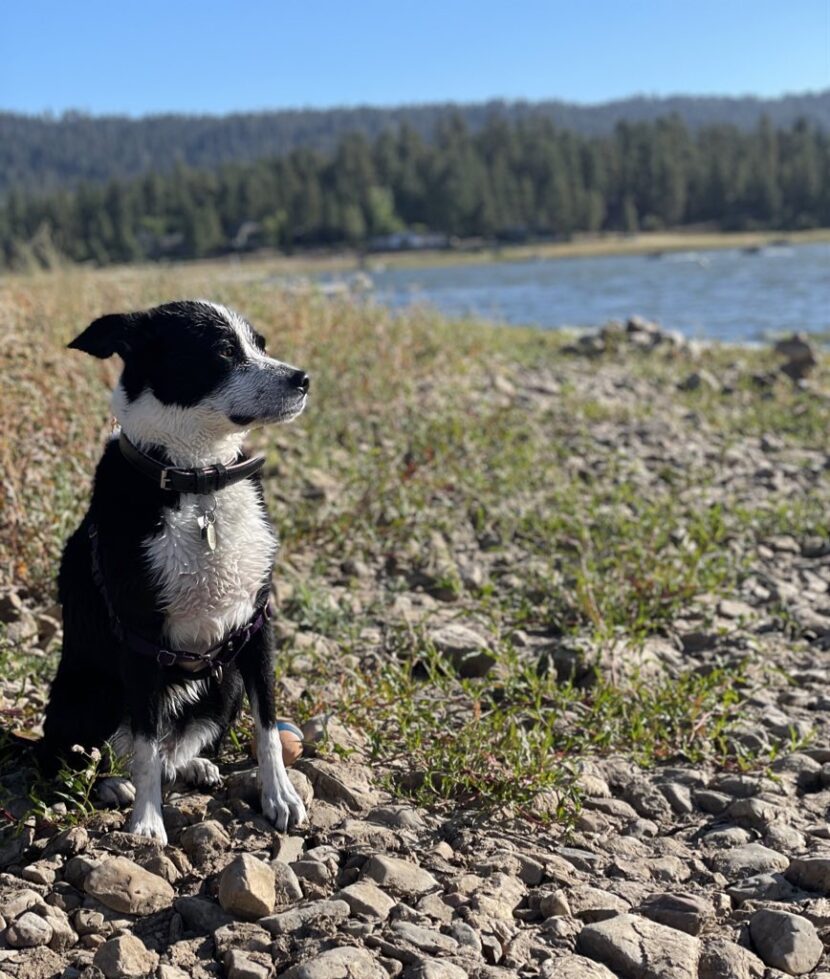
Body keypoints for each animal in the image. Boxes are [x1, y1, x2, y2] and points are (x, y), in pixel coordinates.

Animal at [38, 298, 308, 844]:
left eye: (260, 345)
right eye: (224, 352)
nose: (303, 379)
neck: (198, 479)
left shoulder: (257, 624)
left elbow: (267, 727)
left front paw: (280, 797)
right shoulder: (141, 639)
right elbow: (145, 743)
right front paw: (147, 822)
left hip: (225, 681)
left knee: (175, 752)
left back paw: (195, 765)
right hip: (91, 692)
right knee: (76, 756)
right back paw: (113, 784)